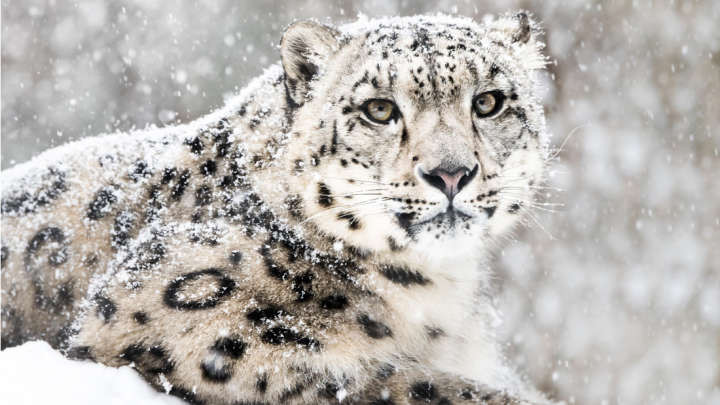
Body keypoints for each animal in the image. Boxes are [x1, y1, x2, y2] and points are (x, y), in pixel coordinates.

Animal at [1, 12, 553, 405]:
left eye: (488, 102)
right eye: (379, 109)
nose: (451, 173)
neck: (437, 291)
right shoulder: (186, 327)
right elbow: (393, 382)